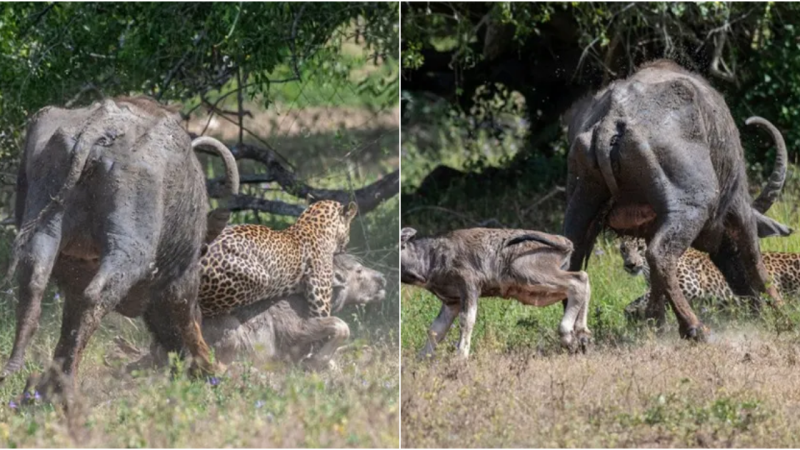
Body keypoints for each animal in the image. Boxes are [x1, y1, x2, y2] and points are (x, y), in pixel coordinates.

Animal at [3, 96, 241, 400]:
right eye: (201, 252)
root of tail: (94, 134)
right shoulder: (181, 278)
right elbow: (188, 320)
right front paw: (208, 368)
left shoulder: (74, 273)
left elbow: (70, 319)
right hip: (129, 250)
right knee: (96, 296)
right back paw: (66, 387)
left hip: (43, 228)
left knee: (34, 283)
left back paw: (23, 373)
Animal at [400, 229, 588, 358]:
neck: (431, 258)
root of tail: (564, 242)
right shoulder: (451, 301)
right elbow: (436, 330)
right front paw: (421, 358)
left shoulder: (469, 285)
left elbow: (466, 321)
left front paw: (461, 356)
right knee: (583, 279)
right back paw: (582, 331)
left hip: (527, 272)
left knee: (578, 282)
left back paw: (568, 334)